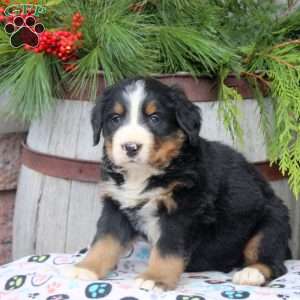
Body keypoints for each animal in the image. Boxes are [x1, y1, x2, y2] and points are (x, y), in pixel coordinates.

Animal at [65, 77, 290, 290]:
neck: (142, 174)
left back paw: (251, 273)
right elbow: (105, 241)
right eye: (115, 118)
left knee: (273, 260)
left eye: (155, 118)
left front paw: (155, 278)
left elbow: (167, 249)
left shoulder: (182, 212)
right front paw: (87, 268)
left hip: (272, 222)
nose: (130, 147)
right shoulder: (116, 206)